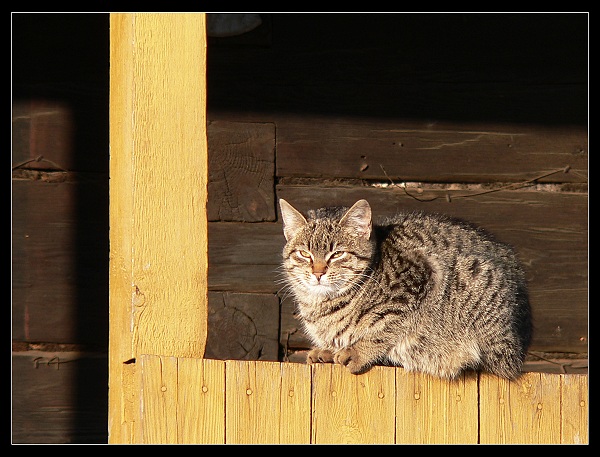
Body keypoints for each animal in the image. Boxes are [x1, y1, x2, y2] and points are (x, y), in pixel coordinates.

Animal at [278, 197, 532, 378]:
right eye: (304, 254)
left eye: (338, 254)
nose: (318, 272)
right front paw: (328, 350)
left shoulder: (419, 278)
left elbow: (385, 327)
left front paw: (359, 351)